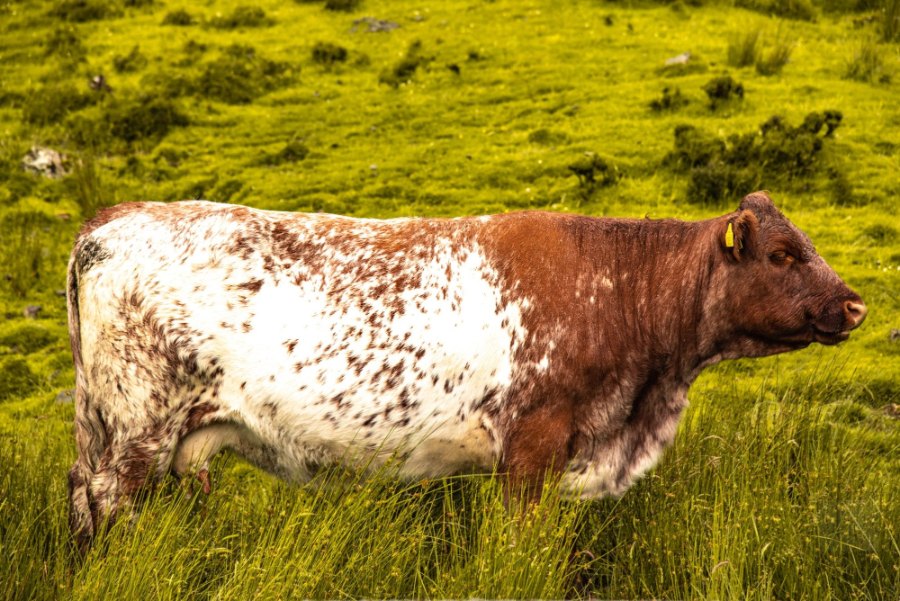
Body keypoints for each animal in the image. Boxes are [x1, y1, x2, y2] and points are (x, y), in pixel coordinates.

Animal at [66, 191, 866, 551]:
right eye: (782, 254)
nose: (855, 304)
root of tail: (113, 219)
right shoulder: (533, 445)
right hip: (137, 426)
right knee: (102, 503)